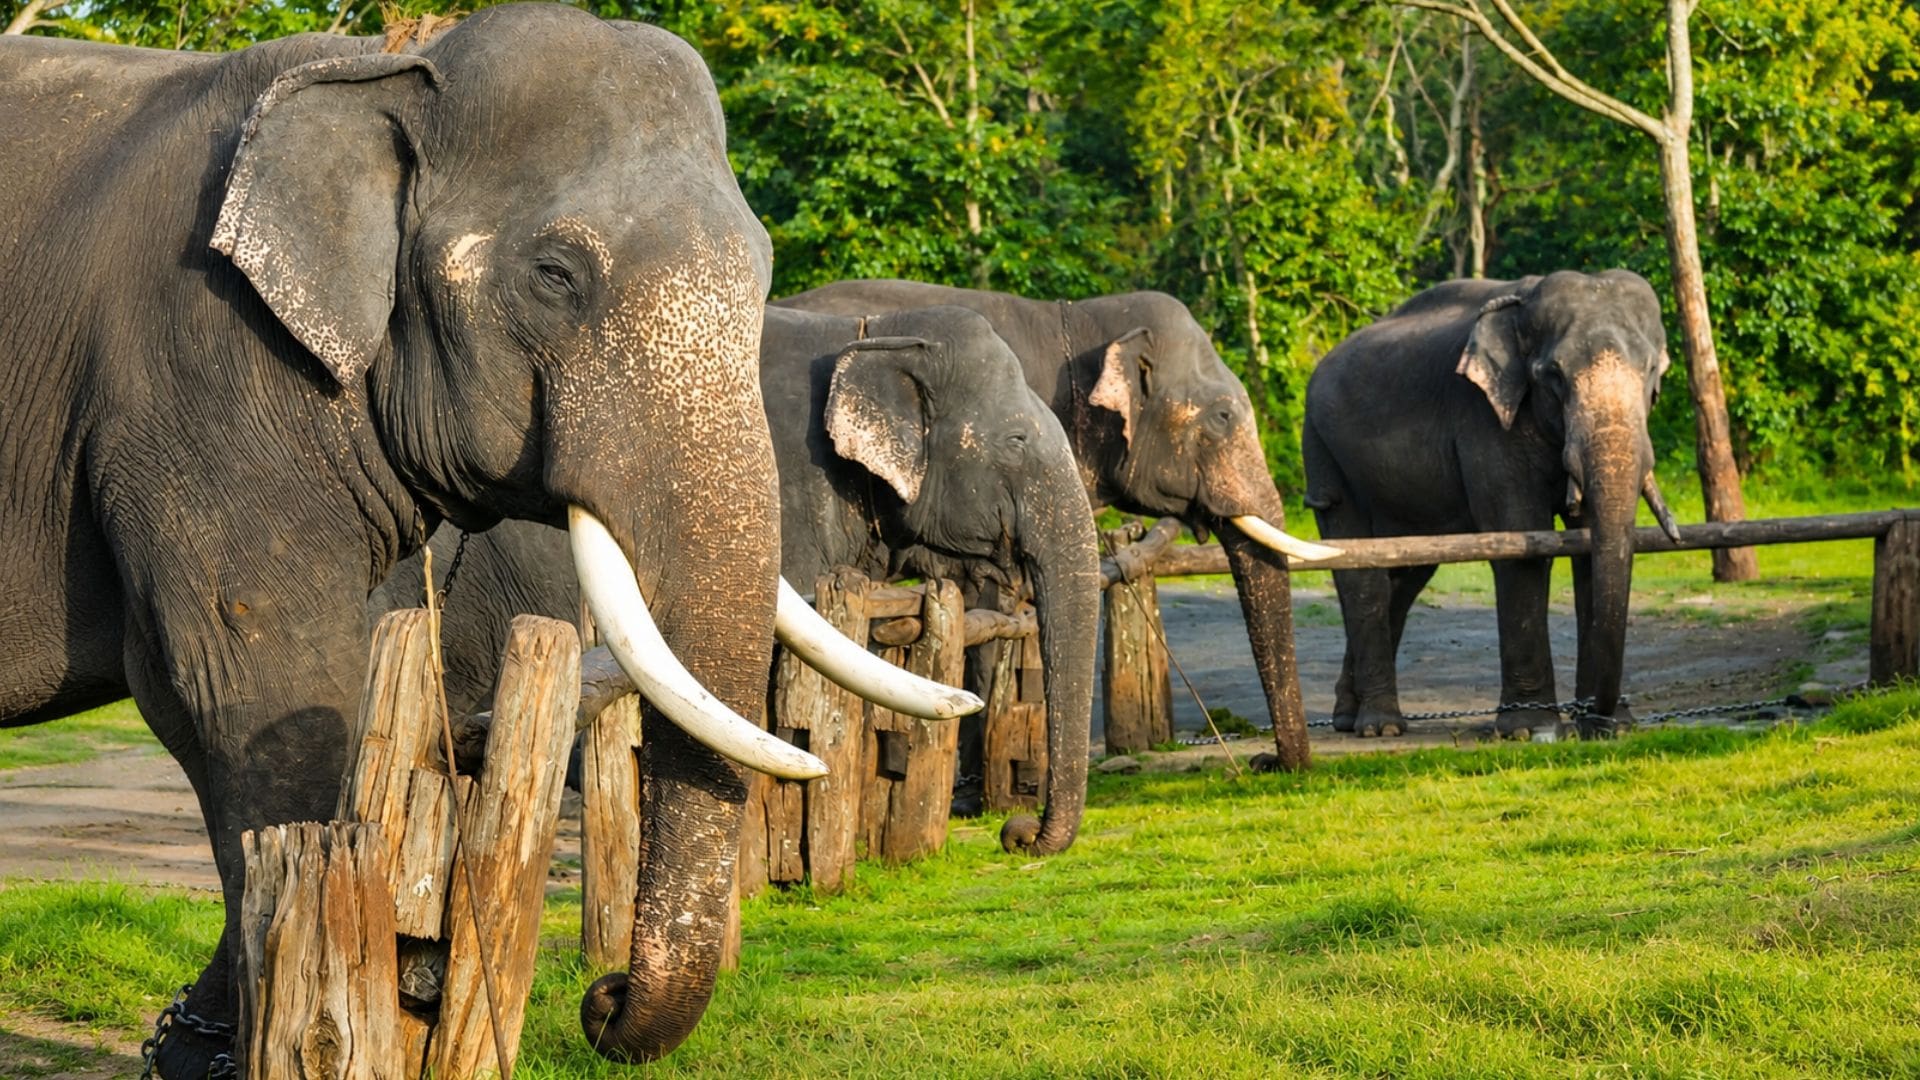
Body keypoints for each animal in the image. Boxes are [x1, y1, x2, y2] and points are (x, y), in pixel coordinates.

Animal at [0, 7, 957, 1070]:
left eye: (762, 276)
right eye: (556, 277)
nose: (603, 999)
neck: (385, 67)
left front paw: (197, 1047)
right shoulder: (200, 368)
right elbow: (258, 692)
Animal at [1301, 270, 1683, 740]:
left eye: (1652, 371)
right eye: (1553, 375)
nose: (1601, 716)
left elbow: (1589, 548)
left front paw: (1614, 728)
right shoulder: (1484, 419)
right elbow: (1520, 539)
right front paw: (1529, 730)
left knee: (1405, 574)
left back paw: (1348, 716)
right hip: (1323, 449)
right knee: (1360, 569)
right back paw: (1380, 727)